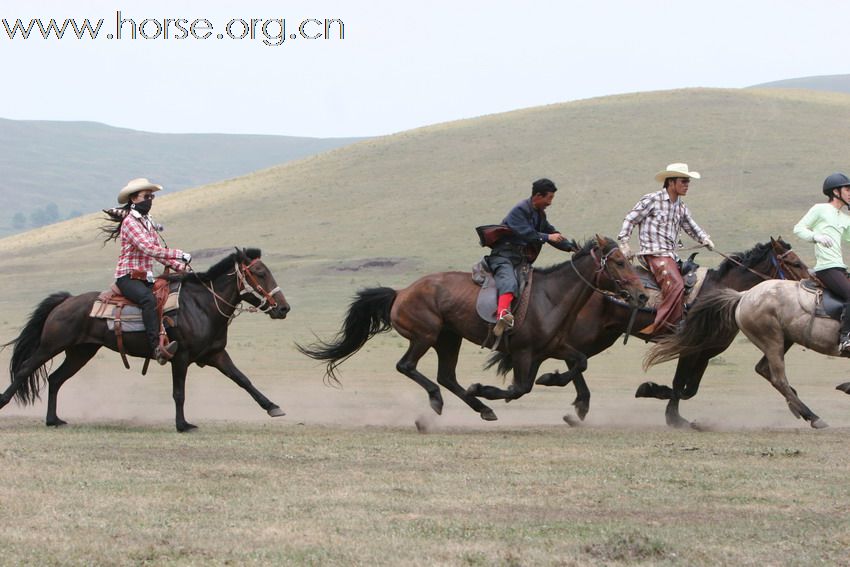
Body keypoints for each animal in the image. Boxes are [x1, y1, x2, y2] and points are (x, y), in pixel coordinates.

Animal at [1, 247, 290, 430]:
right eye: (260, 273)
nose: (284, 308)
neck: (203, 305)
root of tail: (66, 301)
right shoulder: (180, 356)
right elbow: (179, 392)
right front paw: (183, 424)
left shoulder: (216, 355)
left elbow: (243, 380)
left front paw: (273, 407)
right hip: (51, 346)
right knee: (25, 370)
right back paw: (6, 403)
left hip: (81, 352)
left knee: (55, 379)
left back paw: (54, 420)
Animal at [294, 235, 644, 422]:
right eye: (619, 263)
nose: (641, 295)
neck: (551, 296)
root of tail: (401, 292)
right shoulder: (523, 352)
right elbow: (520, 388)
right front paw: (484, 389)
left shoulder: (550, 349)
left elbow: (575, 364)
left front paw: (552, 380)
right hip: (426, 335)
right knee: (408, 366)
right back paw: (443, 401)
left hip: (449, 339)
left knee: (447, 376)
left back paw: (481, 408)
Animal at [480, 237, 804, 428]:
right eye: (795, 262)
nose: (812, 280)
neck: (724, 292)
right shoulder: (691, 348)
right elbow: (681, 386)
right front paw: (655, 396)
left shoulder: (704, 352)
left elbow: (688, 388)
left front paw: (672, 413)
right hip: (590, 334)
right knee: (572, 358)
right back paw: (568, 394)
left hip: (603, 335)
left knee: (569, 358)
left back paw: (577, 404)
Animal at [644, 280, 848, 430]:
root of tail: (744, 295)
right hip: (772, 339)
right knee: (778, 378)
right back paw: (812, 416)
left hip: (784, 339)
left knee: (764, 369)